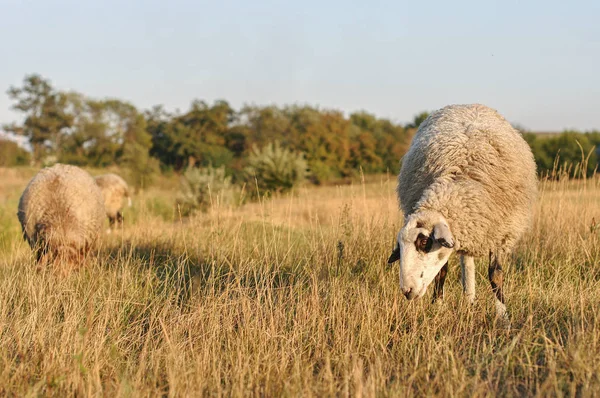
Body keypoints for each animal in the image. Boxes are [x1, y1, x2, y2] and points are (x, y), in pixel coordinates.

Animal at [390, 103, 540, 320]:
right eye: (401, 246)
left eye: (424, 242)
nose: (407, 291)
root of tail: (469, 105)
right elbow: (442, 272)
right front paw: (437, 306)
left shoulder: (501, 233)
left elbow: (495, 275)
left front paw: (503, 316)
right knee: (467, 262)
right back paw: (469, 298)